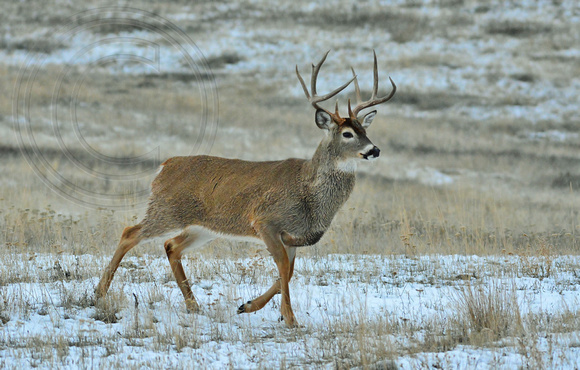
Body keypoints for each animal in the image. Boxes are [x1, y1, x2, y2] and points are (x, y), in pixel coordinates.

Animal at [96, 49, 394, 326]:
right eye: (347, 134)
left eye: (365, 131)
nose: (374, 150)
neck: (308, 192)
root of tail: (166, 165)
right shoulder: (265, 221)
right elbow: (283, 268)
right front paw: (290, 318)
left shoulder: (294, 237)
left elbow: (289, 272)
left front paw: (247, 306)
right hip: (166, 210)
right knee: (130, 233)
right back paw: (100, 292)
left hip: (202, 227)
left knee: (171, 246)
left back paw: (193, 305)